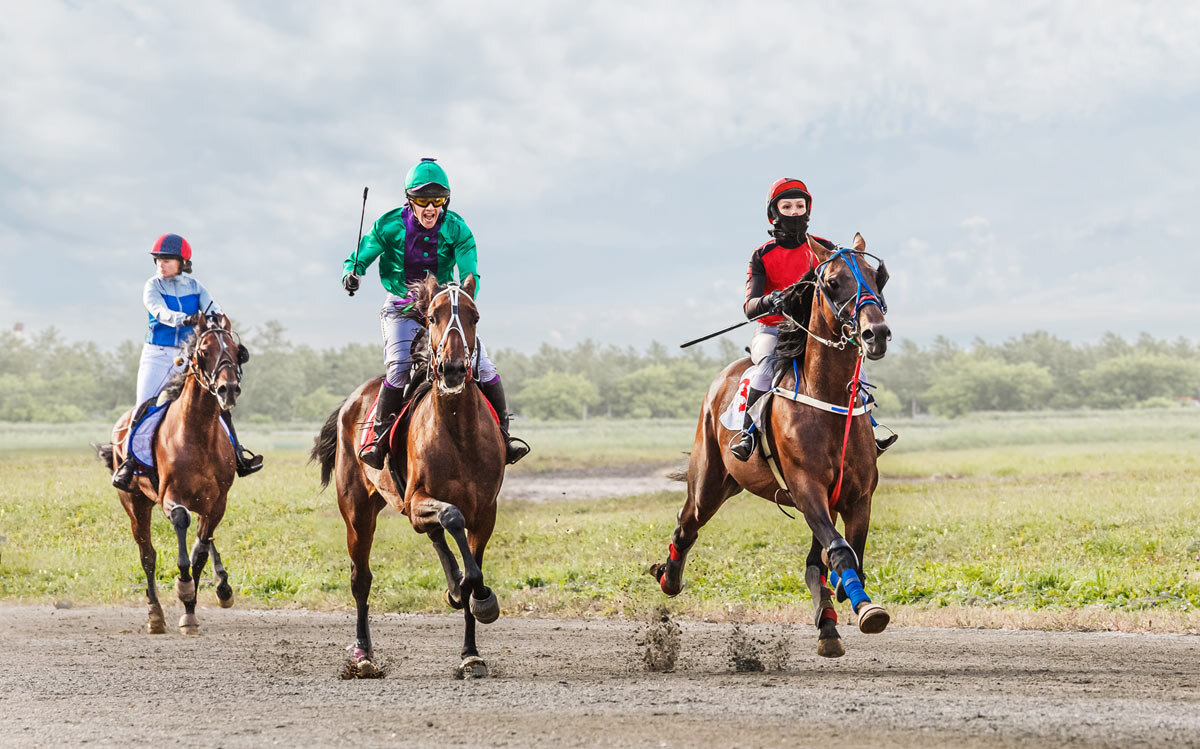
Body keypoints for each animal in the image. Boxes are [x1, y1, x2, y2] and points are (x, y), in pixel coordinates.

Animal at [97, 312, 249, 633]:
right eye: (204, 351)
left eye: (235, 349)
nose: (228, 389)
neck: (198, 432)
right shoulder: (170, 496)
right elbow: (181, 525)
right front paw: (184, 588)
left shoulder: (217, 502)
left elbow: (201, 550)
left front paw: (191, 609)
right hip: (135, 504)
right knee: (147, 554)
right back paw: (155, 614)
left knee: (202, 541)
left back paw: (221, 586)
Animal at [312, 274, 504, 676]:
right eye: (432, 317)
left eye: (474, 315)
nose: (453, 368)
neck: (458, 431)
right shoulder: (416, 500)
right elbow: (452, 518)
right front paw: (473, 594)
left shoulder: (485, 511)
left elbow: (472, 566)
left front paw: (471, 651)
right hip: (357, 511)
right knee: (361, 579)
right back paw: (364, 655)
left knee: (435, 536)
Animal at [652, 232, 897, 652]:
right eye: (832, 281)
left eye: (877, 277)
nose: (875, 334)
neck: (827, 398)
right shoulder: (805, 487)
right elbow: (840, 552)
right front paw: (865, 607)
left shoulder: (857, 496)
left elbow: (845, 554)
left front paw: (854, 602)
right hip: (708, 483)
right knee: (687, 525)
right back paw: (669, 576)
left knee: (814, 561)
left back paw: (828, 624)